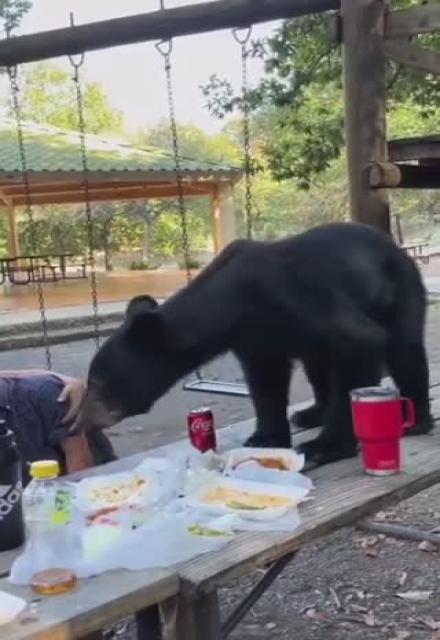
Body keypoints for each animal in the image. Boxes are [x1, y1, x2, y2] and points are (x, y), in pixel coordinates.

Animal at [71, 222, 433, 467]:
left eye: (97, 382)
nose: (77, 421)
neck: (233, 302)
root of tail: (395, 246)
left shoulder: (295, 296)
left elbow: (360, 341)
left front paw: (325, 447)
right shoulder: (254, 337)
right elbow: (265, 381)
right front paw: (265, 437)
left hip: (400, 290)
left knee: (404, 348)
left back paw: (415, 419)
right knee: (318, 366)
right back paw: (310, 413)